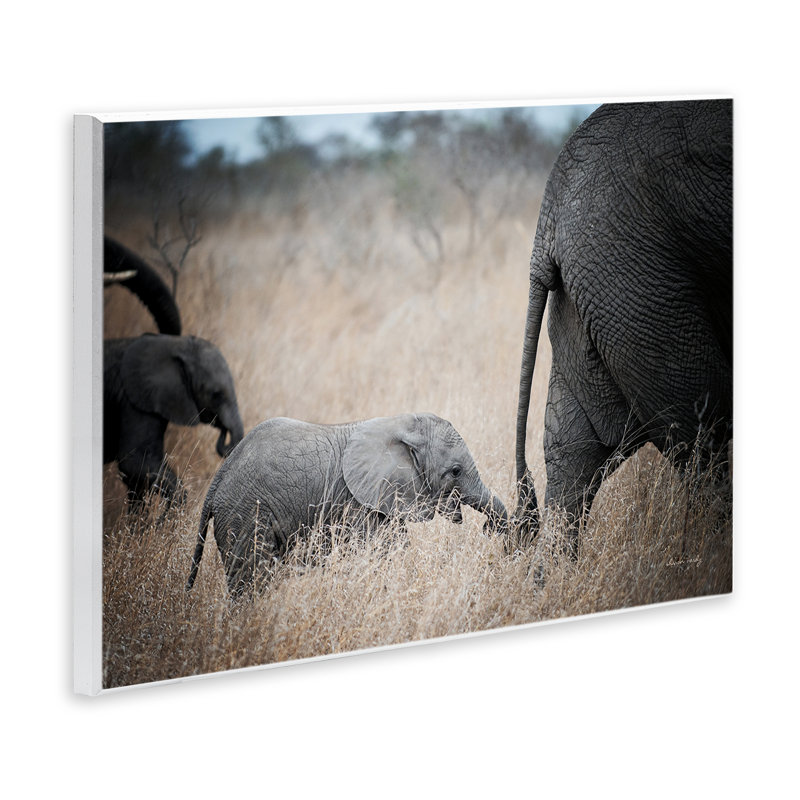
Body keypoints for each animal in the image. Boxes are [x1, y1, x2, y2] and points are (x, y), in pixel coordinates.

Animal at [186, 413, 508, 597]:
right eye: (455, 471)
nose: (489, 528)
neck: (399, 424)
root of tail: (219, 476)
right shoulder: (355, 503)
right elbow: (383, 555)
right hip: (244, 514)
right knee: (251, 579)